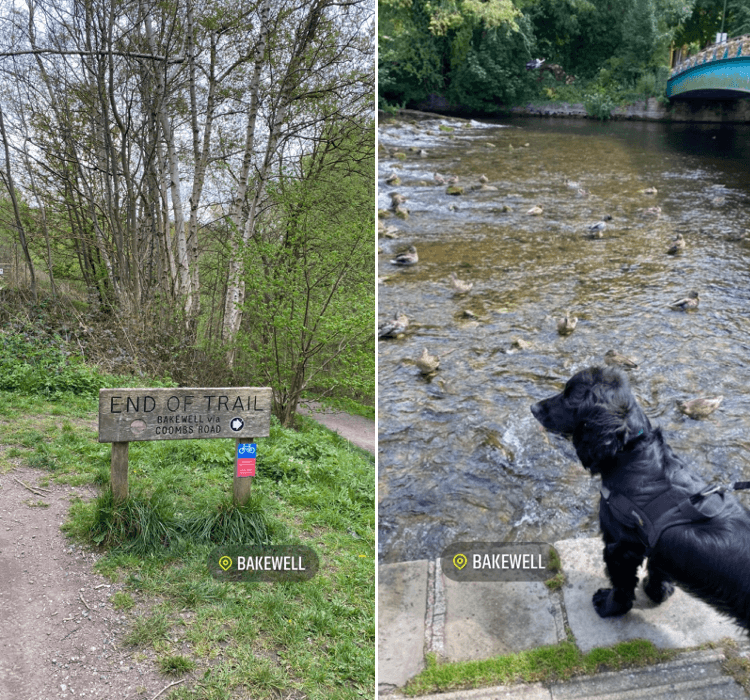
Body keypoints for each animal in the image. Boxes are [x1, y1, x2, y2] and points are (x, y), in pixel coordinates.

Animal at [532, 366, 750, 628]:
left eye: (569, 397)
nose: (533, 407)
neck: (632, 452)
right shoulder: (653, 541)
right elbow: (658, 570)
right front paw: (658, 592)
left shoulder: (620, 546)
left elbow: (622, 586)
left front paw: (609, 606)